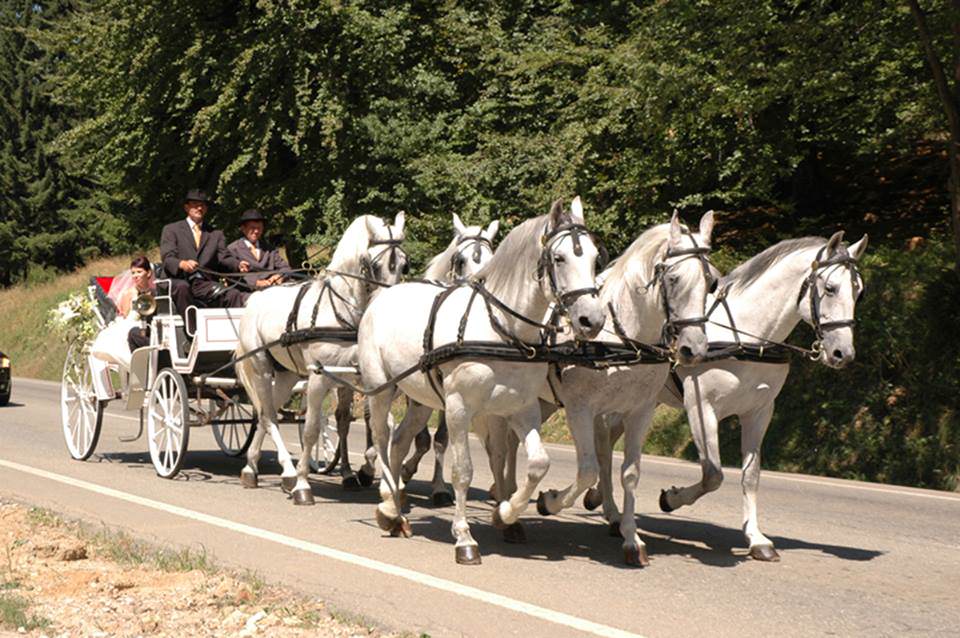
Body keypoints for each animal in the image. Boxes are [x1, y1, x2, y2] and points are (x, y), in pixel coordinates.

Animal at [239, 212, 408, 502]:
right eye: (374, 265)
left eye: (404, 265)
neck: (339, 308)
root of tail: (255, 299)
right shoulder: (318, 377)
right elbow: (311, 430)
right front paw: (303, 485)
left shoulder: (358, 377)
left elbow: (377, 425)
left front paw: (366, 474)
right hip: (260, 368)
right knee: (269, 415)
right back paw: (280, 472)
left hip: (286, 376)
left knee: (264, 414)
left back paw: (257, 467)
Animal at [356, 199, 604, 564]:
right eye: (559, 258)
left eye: (595, 257)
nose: (592, 319)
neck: (502, 329)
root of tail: (382, 298)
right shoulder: (459, 408)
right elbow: (463, 471)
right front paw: (464, 538)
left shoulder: (522, 409)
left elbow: (538, 463)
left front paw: (507, 512)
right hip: (382, 387)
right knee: (382, 437)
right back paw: (387, 507)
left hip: (421, 398)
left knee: (400, 440)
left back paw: (394, 508)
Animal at [484, 212, 716, 568]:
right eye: (674, 278)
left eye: (711, 281)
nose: (694, 348)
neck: (623, 339)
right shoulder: (581, 409)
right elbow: (587, 471)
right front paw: (549, 501)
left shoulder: (640, 411)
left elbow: (629, 472)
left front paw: (632, 539)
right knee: (499, 451)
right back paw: (506, 510)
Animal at [588, 232, 868, 564]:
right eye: (830, 288)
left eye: (859, 292)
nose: (843, 353)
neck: (745, 335)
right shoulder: (701, 407)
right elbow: (713, 474)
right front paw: (671, 498)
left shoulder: (760, 412)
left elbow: (751, 476)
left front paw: (756, 539)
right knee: (603, 448)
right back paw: (611, 512)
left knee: (607, 443)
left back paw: (600, 501)